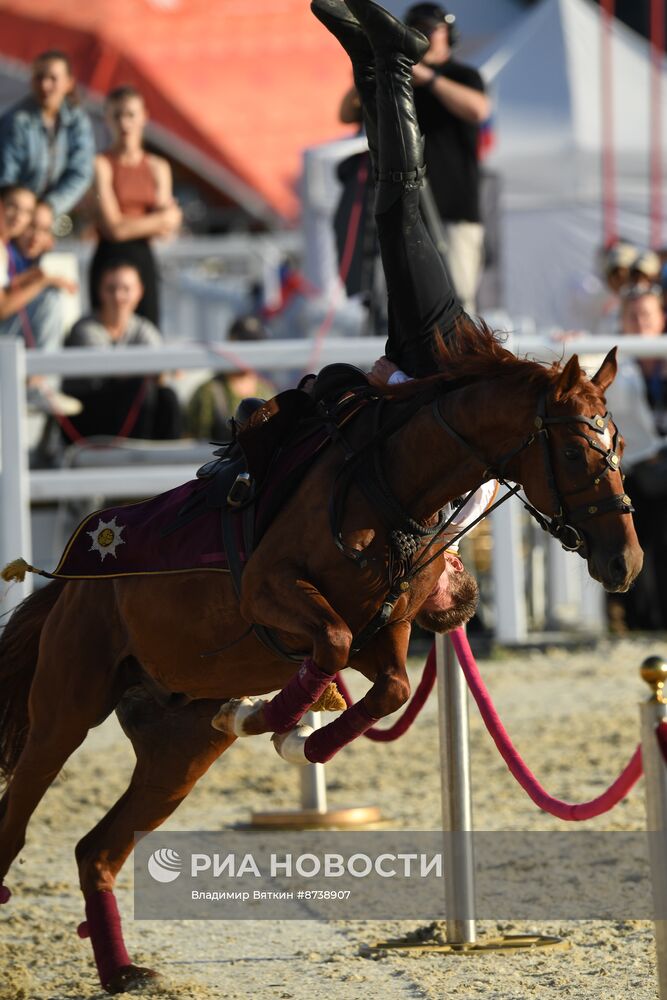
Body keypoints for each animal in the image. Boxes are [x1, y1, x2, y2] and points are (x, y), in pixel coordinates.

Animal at [0, 324, 640, 988]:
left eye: (620, 444)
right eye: (575, 453)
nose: (625, 561)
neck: (387, 487)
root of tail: (68, 583)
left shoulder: (382, 637)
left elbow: (391, 688)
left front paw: (292, 734)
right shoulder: (268, 592)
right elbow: (331, 645)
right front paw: (269, 719)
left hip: (175, 757)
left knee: (97, 850)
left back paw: (124, 971)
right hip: (63, 714)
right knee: (14, 829)